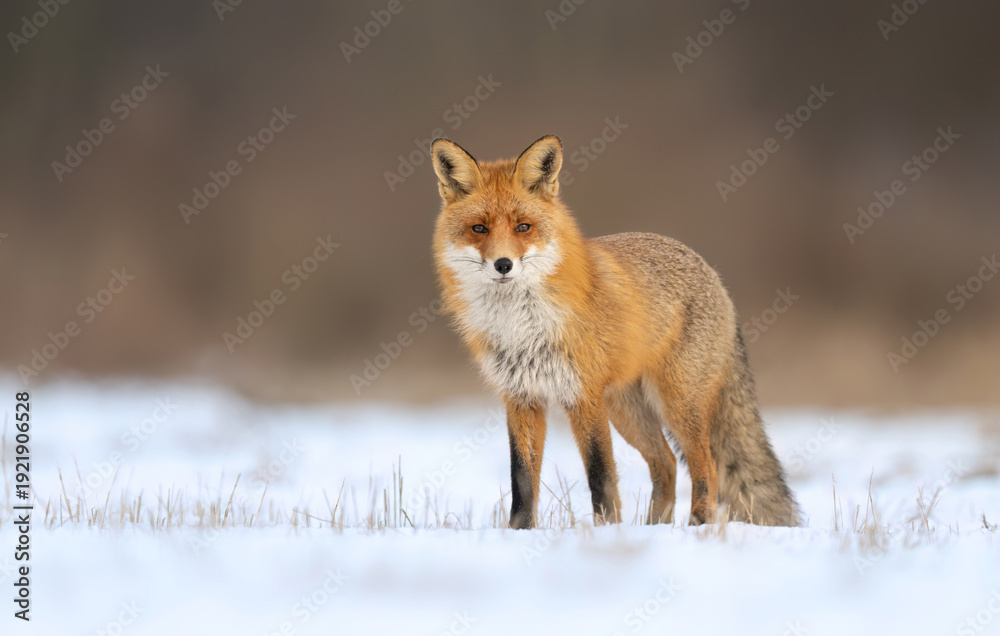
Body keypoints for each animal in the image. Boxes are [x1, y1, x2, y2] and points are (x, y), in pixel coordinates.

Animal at [430, 134, 801, 529]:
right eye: (479, 229)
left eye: (523, 227)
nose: (503, 264)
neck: (521, 326)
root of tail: (711, 271)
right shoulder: (521, 398)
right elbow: (522, 478)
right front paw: (519, 532)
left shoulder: (584, 395)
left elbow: (600, 474)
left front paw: (607, 530)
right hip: (630, 411)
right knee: (667, 463)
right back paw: (656, 528)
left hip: (678, 404)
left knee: (707, 466)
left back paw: (697, 526)